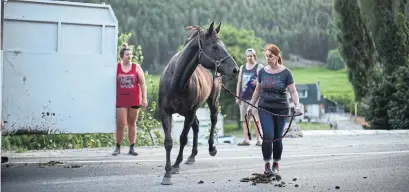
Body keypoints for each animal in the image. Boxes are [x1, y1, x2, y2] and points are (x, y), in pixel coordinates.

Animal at [156, 21, 239, 185]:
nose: (235, 69)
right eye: (215, 47)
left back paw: (211, 148)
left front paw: (175, 165)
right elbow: (168, 141)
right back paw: (192, 156)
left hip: (212, 102)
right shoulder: (165, 112)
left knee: (212, 121)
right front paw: (167, 173)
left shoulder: (189, 112)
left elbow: (183, 138)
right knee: (197, 126)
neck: (176, 82)